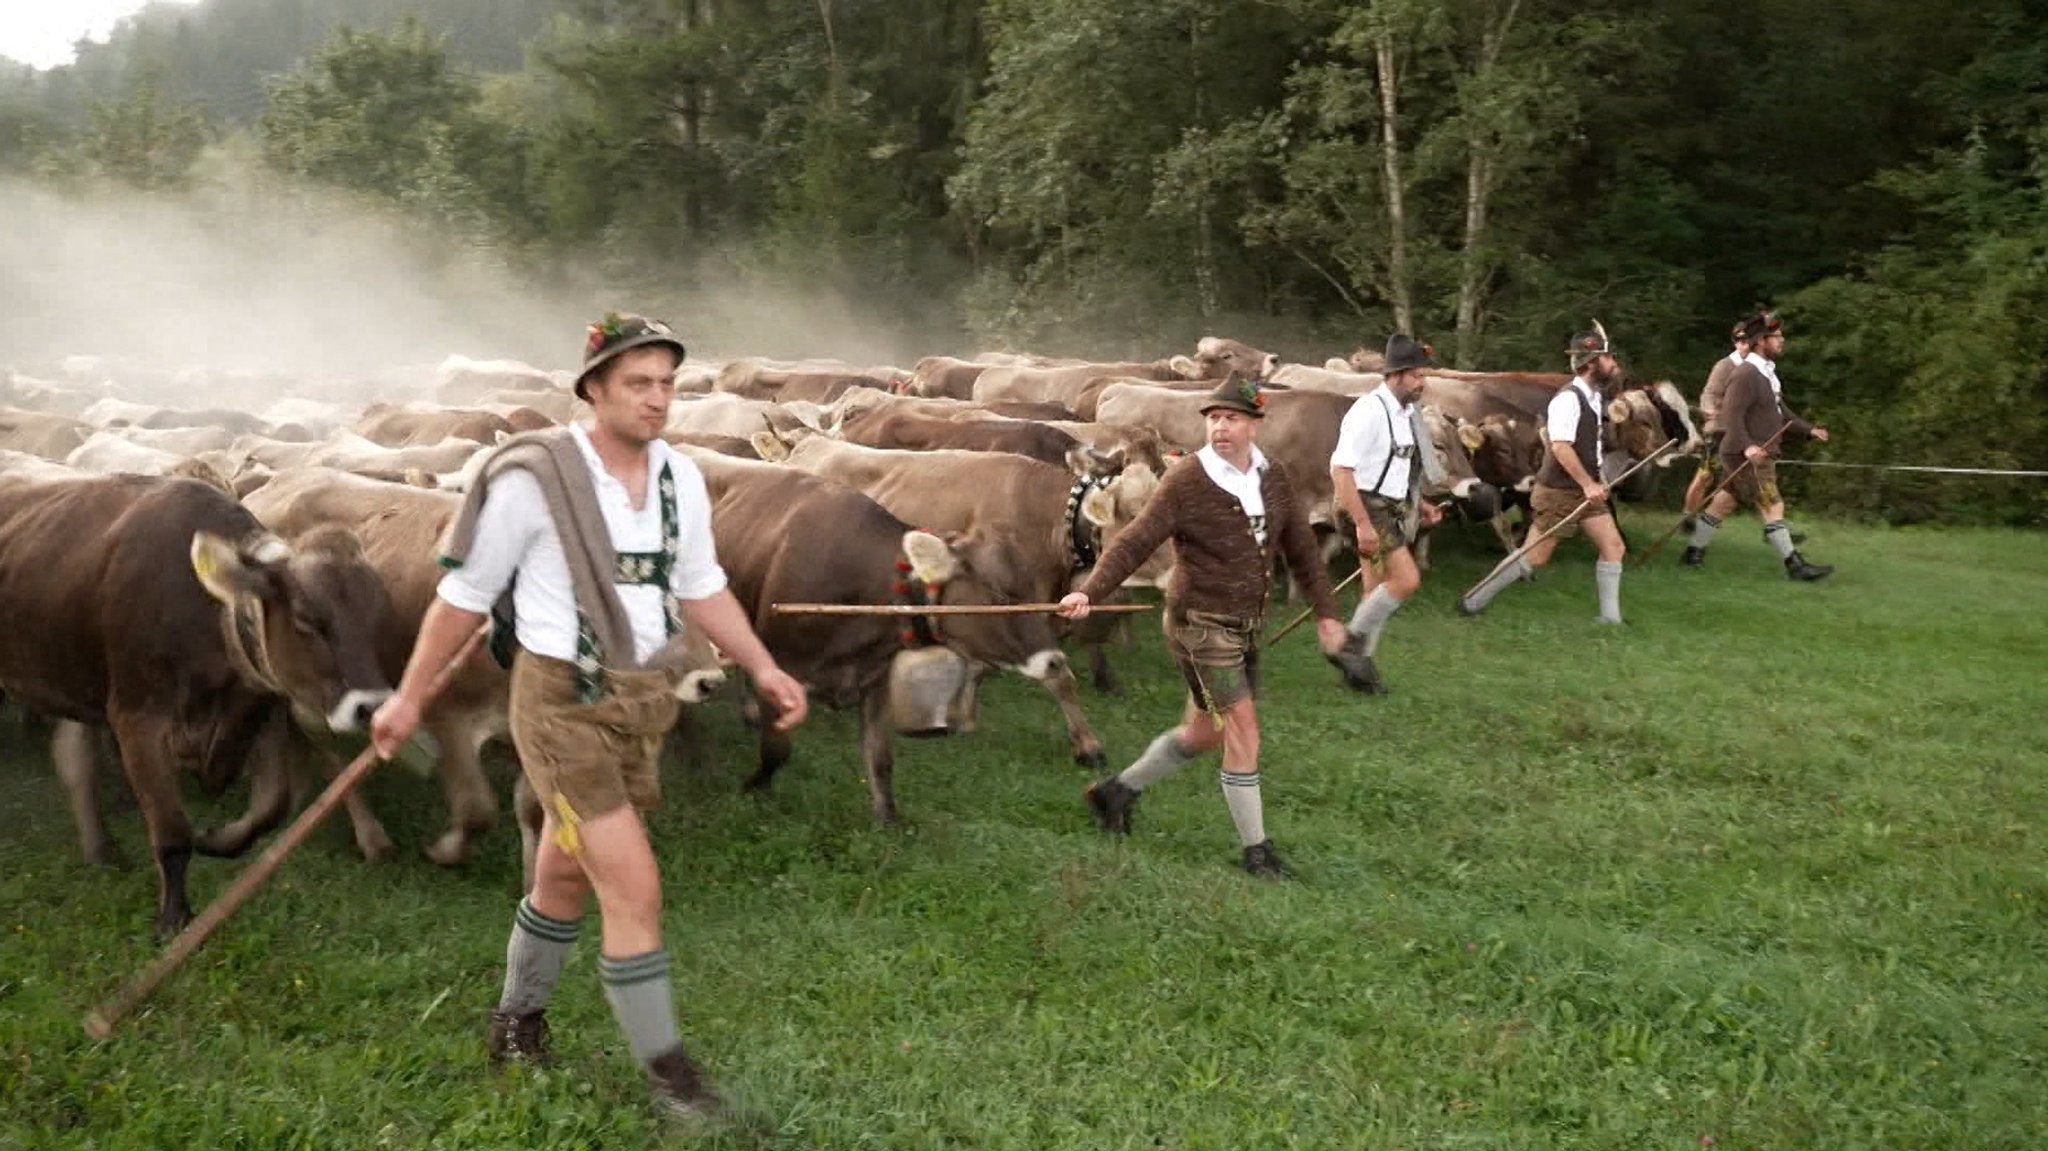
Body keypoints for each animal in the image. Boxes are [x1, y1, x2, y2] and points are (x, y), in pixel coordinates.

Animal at [0, 462, 395, 933]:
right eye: (306, 620)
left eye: (378, 615)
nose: (372, 707)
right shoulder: (137, 718)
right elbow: (172, 833)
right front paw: (175, 918)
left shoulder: (257, 712)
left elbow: (272, 806)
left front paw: (218, 840)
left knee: (73, 762)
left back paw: (102, 852)